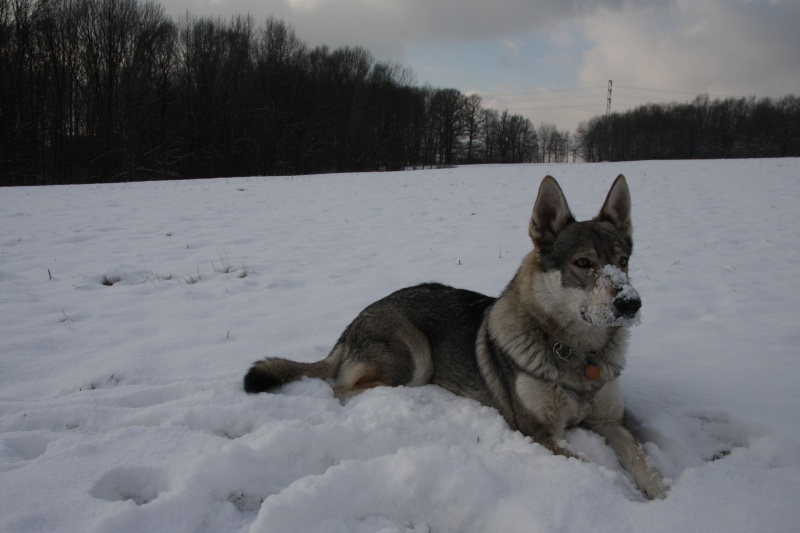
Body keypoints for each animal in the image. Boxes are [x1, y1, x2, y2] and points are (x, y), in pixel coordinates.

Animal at [244, 175, 668, 498]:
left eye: (623, 261)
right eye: (583, 263)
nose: (631, 303)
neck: (577, 354)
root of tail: (351, 324)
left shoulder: (613, 422)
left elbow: (644, 462)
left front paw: (665, 498)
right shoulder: (537, 431)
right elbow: (592, 465)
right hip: (414, 361)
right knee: (341, 389)